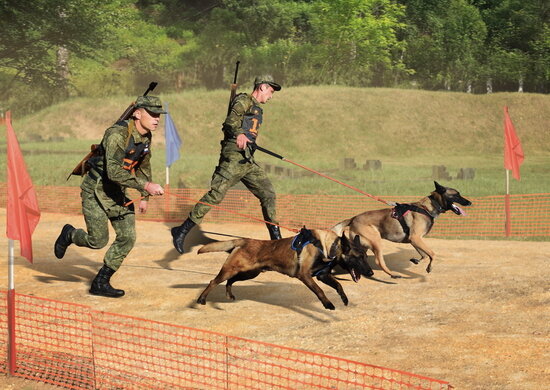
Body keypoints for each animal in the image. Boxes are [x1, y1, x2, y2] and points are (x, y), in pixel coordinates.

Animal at [196, 227, 374, 310]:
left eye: (366, 257)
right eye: (357, 257)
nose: (371, 272)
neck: (328, 246)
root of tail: (245, 240)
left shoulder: (322, 276)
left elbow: (338, 285)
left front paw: (344, 298)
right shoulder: (305, 276)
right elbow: (320, 291)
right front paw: (327, 304)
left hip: (249, 274)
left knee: (230, 281)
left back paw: (229, 294)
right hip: (231, 270)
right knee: (213, 281)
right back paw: (201, 299)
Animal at [332, 181, 474, 278]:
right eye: (456, 195)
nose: (470, 202)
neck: (426, 208)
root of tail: (353, 218)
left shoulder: (414, 240)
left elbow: (424, 255)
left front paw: (417, 260)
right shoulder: (416, 238)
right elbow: (432, 254)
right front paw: (429, 267)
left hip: (363, 245)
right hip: (376, 241)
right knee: (379, 261)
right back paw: (392, 274)